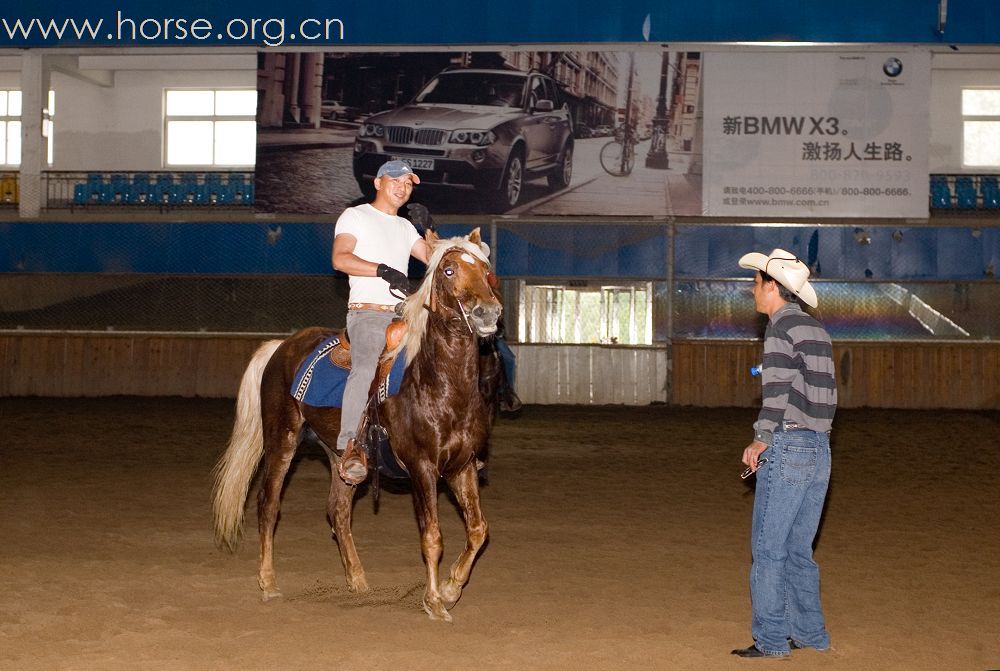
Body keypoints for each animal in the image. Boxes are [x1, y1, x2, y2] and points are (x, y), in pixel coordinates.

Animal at [214, 231, 504, 624]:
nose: (487, 312)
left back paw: (358, 579)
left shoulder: (462, 466)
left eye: (486, 269)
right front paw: (434, 601)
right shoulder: (422, 468)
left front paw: (450, 588)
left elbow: (478, 530)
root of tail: (281, 347)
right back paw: (269, 583)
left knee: (338, 511)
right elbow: (432, 536)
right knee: (268, 506)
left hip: (340, 455)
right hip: (282, 441)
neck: (439, 384)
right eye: (448, 270)